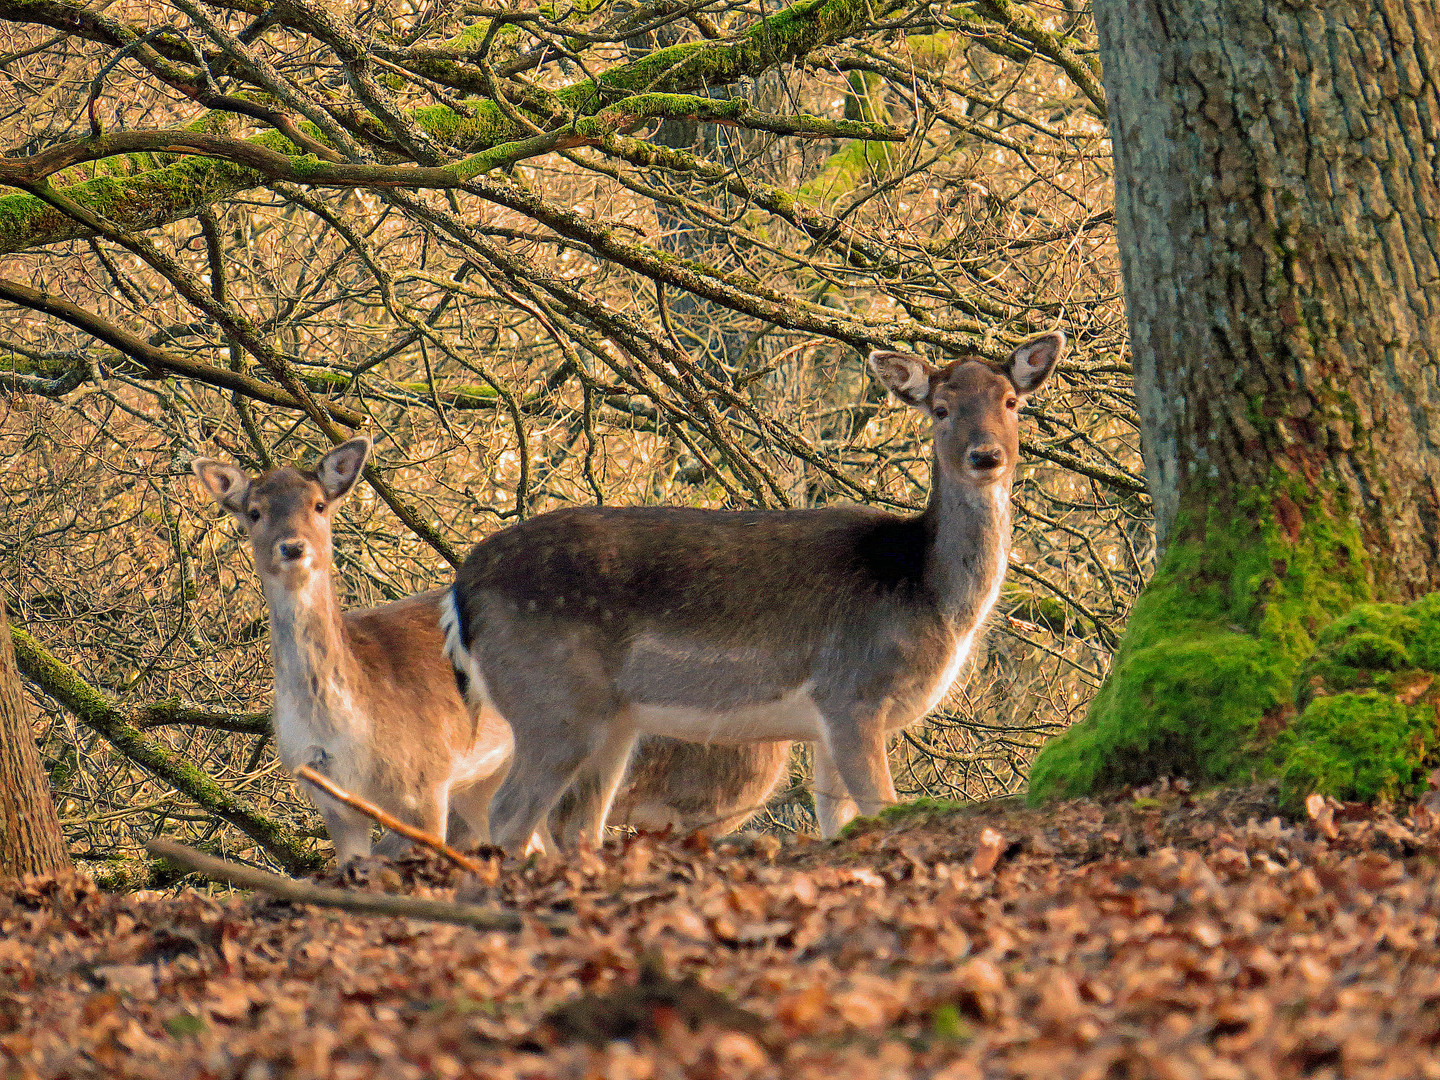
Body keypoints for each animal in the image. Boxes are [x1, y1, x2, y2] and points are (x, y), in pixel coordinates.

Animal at [192, 440, 794, 864]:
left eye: (320, 504)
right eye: (253, 511)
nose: (292, 547)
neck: (346, 727)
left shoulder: (426, 782)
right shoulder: (331, 799)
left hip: (699, 798)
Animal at [443, 334, 1065, 858]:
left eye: (1012, 402)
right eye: (940, 409)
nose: (986, 456)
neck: (928, 593)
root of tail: (462, 588)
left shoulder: (826, 721)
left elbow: (838, 822)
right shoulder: (853, 690)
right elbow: (879, 808)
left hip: (614, 720)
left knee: (574, 824)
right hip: (552, 698)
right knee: (507, 813)